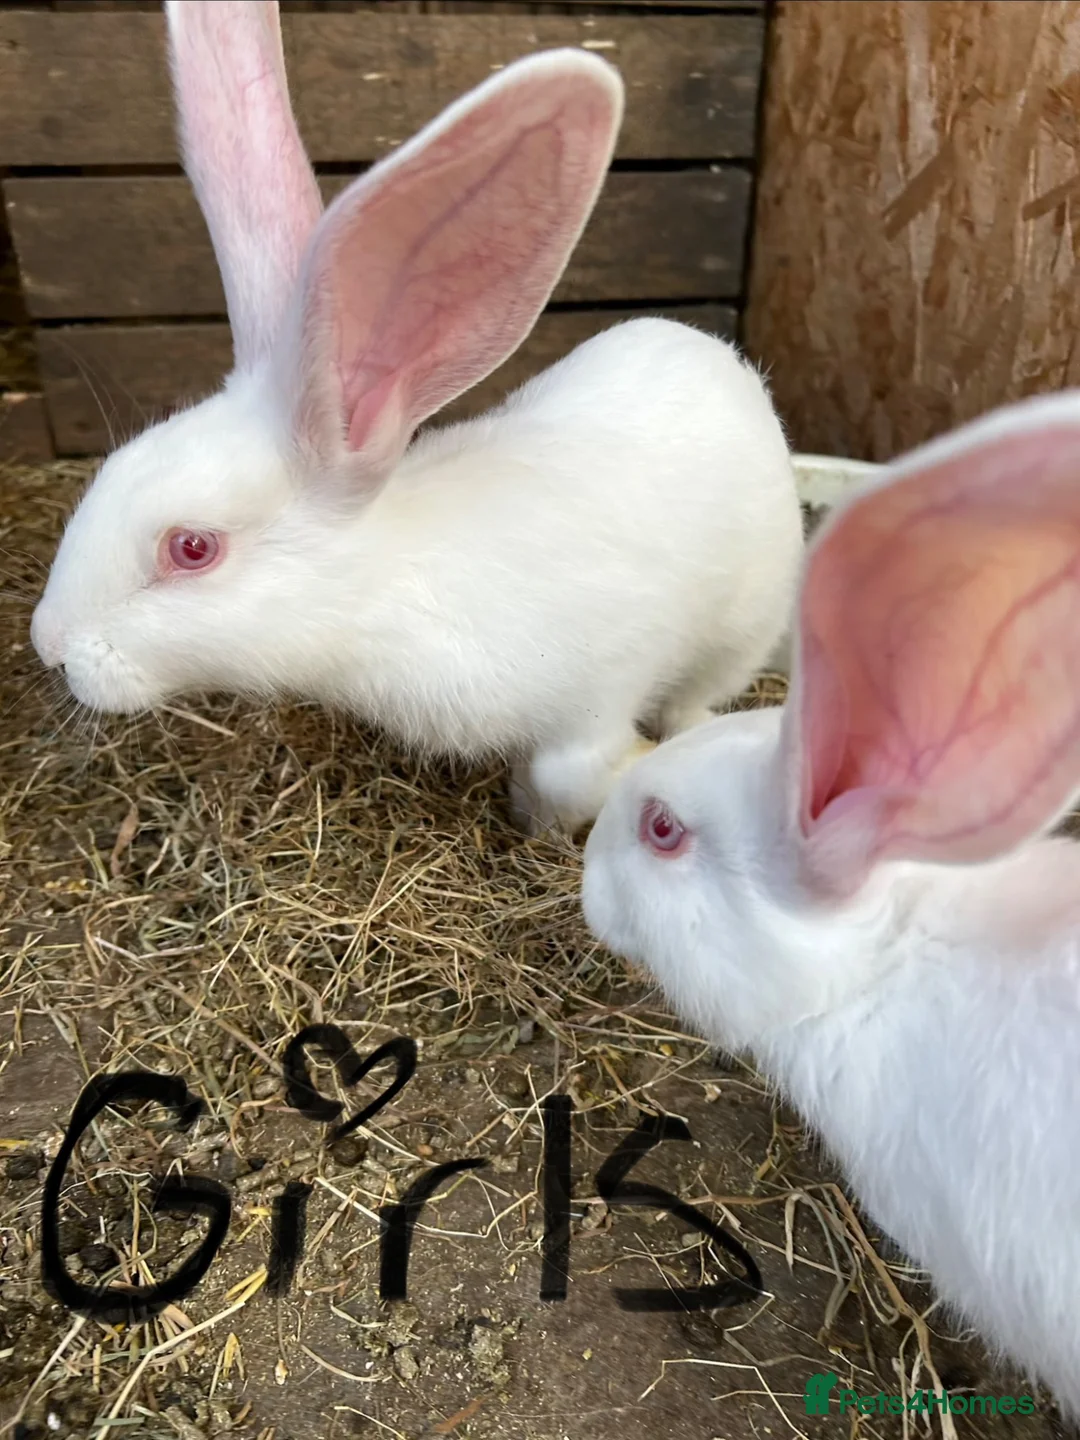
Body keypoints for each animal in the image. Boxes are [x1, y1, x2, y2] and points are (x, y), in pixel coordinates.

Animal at [29, 0, 803, 836]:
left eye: (192, 548)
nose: (48, 643)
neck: (386, 583)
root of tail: (720, 358)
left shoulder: (599, 688)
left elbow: (572, 775)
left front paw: (578, 802)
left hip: (744, 622)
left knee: (700, 695)